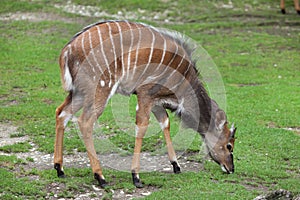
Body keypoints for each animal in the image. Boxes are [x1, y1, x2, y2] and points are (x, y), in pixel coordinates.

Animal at [54, 19, 237, 188]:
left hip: (79, 92)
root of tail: (67, 50)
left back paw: (59, 168)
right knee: (85, 121)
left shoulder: (156, 101)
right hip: (101, 89)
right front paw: (136, 176)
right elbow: (141, 127)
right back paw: (100, 177)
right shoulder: (145, 94)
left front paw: (176, 165)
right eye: (229, 146)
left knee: (61, 113)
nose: (231, 168)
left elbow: (165, 123)